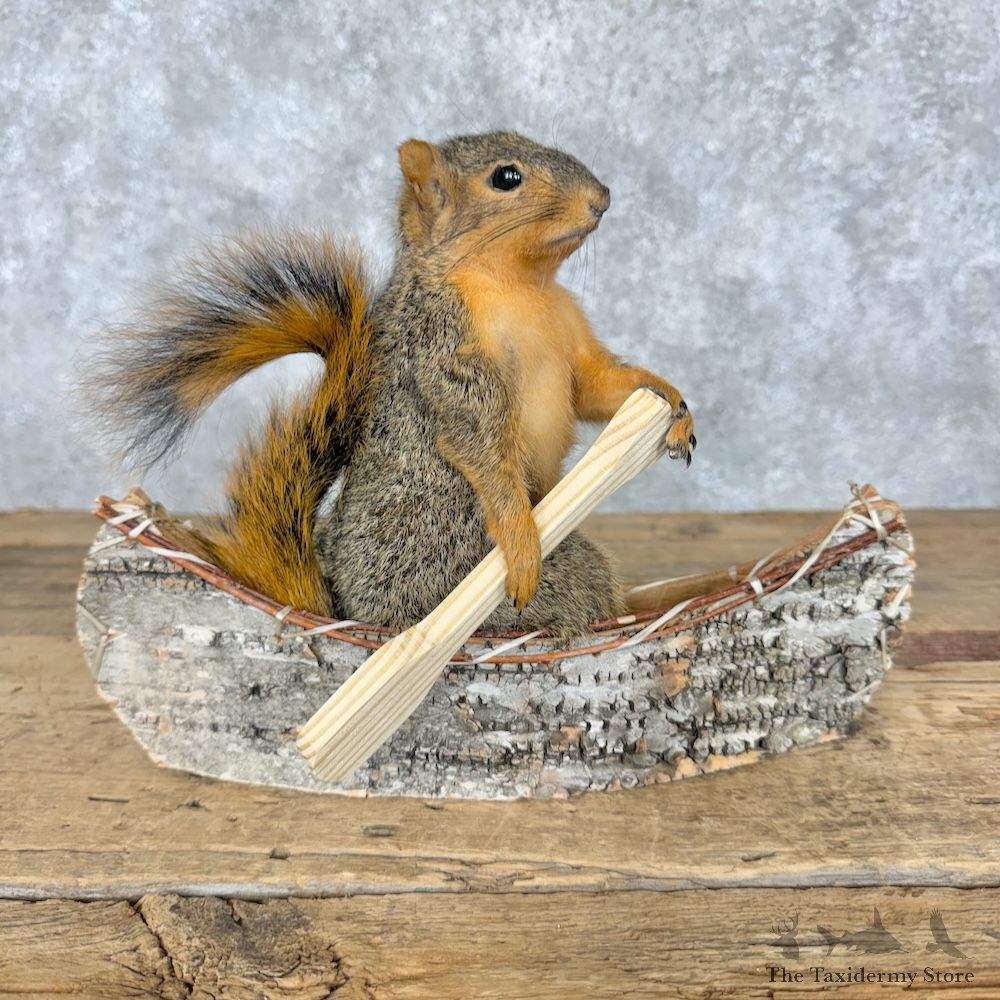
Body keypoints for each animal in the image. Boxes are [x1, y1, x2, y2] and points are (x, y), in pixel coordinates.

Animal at [86, 131, 696, 636]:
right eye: (506, 177)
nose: (603, 197)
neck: (520, 287)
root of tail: (351, 610)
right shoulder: (443, 352)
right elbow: (481, 444)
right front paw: (521, 539)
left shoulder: (572, 342)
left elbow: (601, 387)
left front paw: (673, 403)